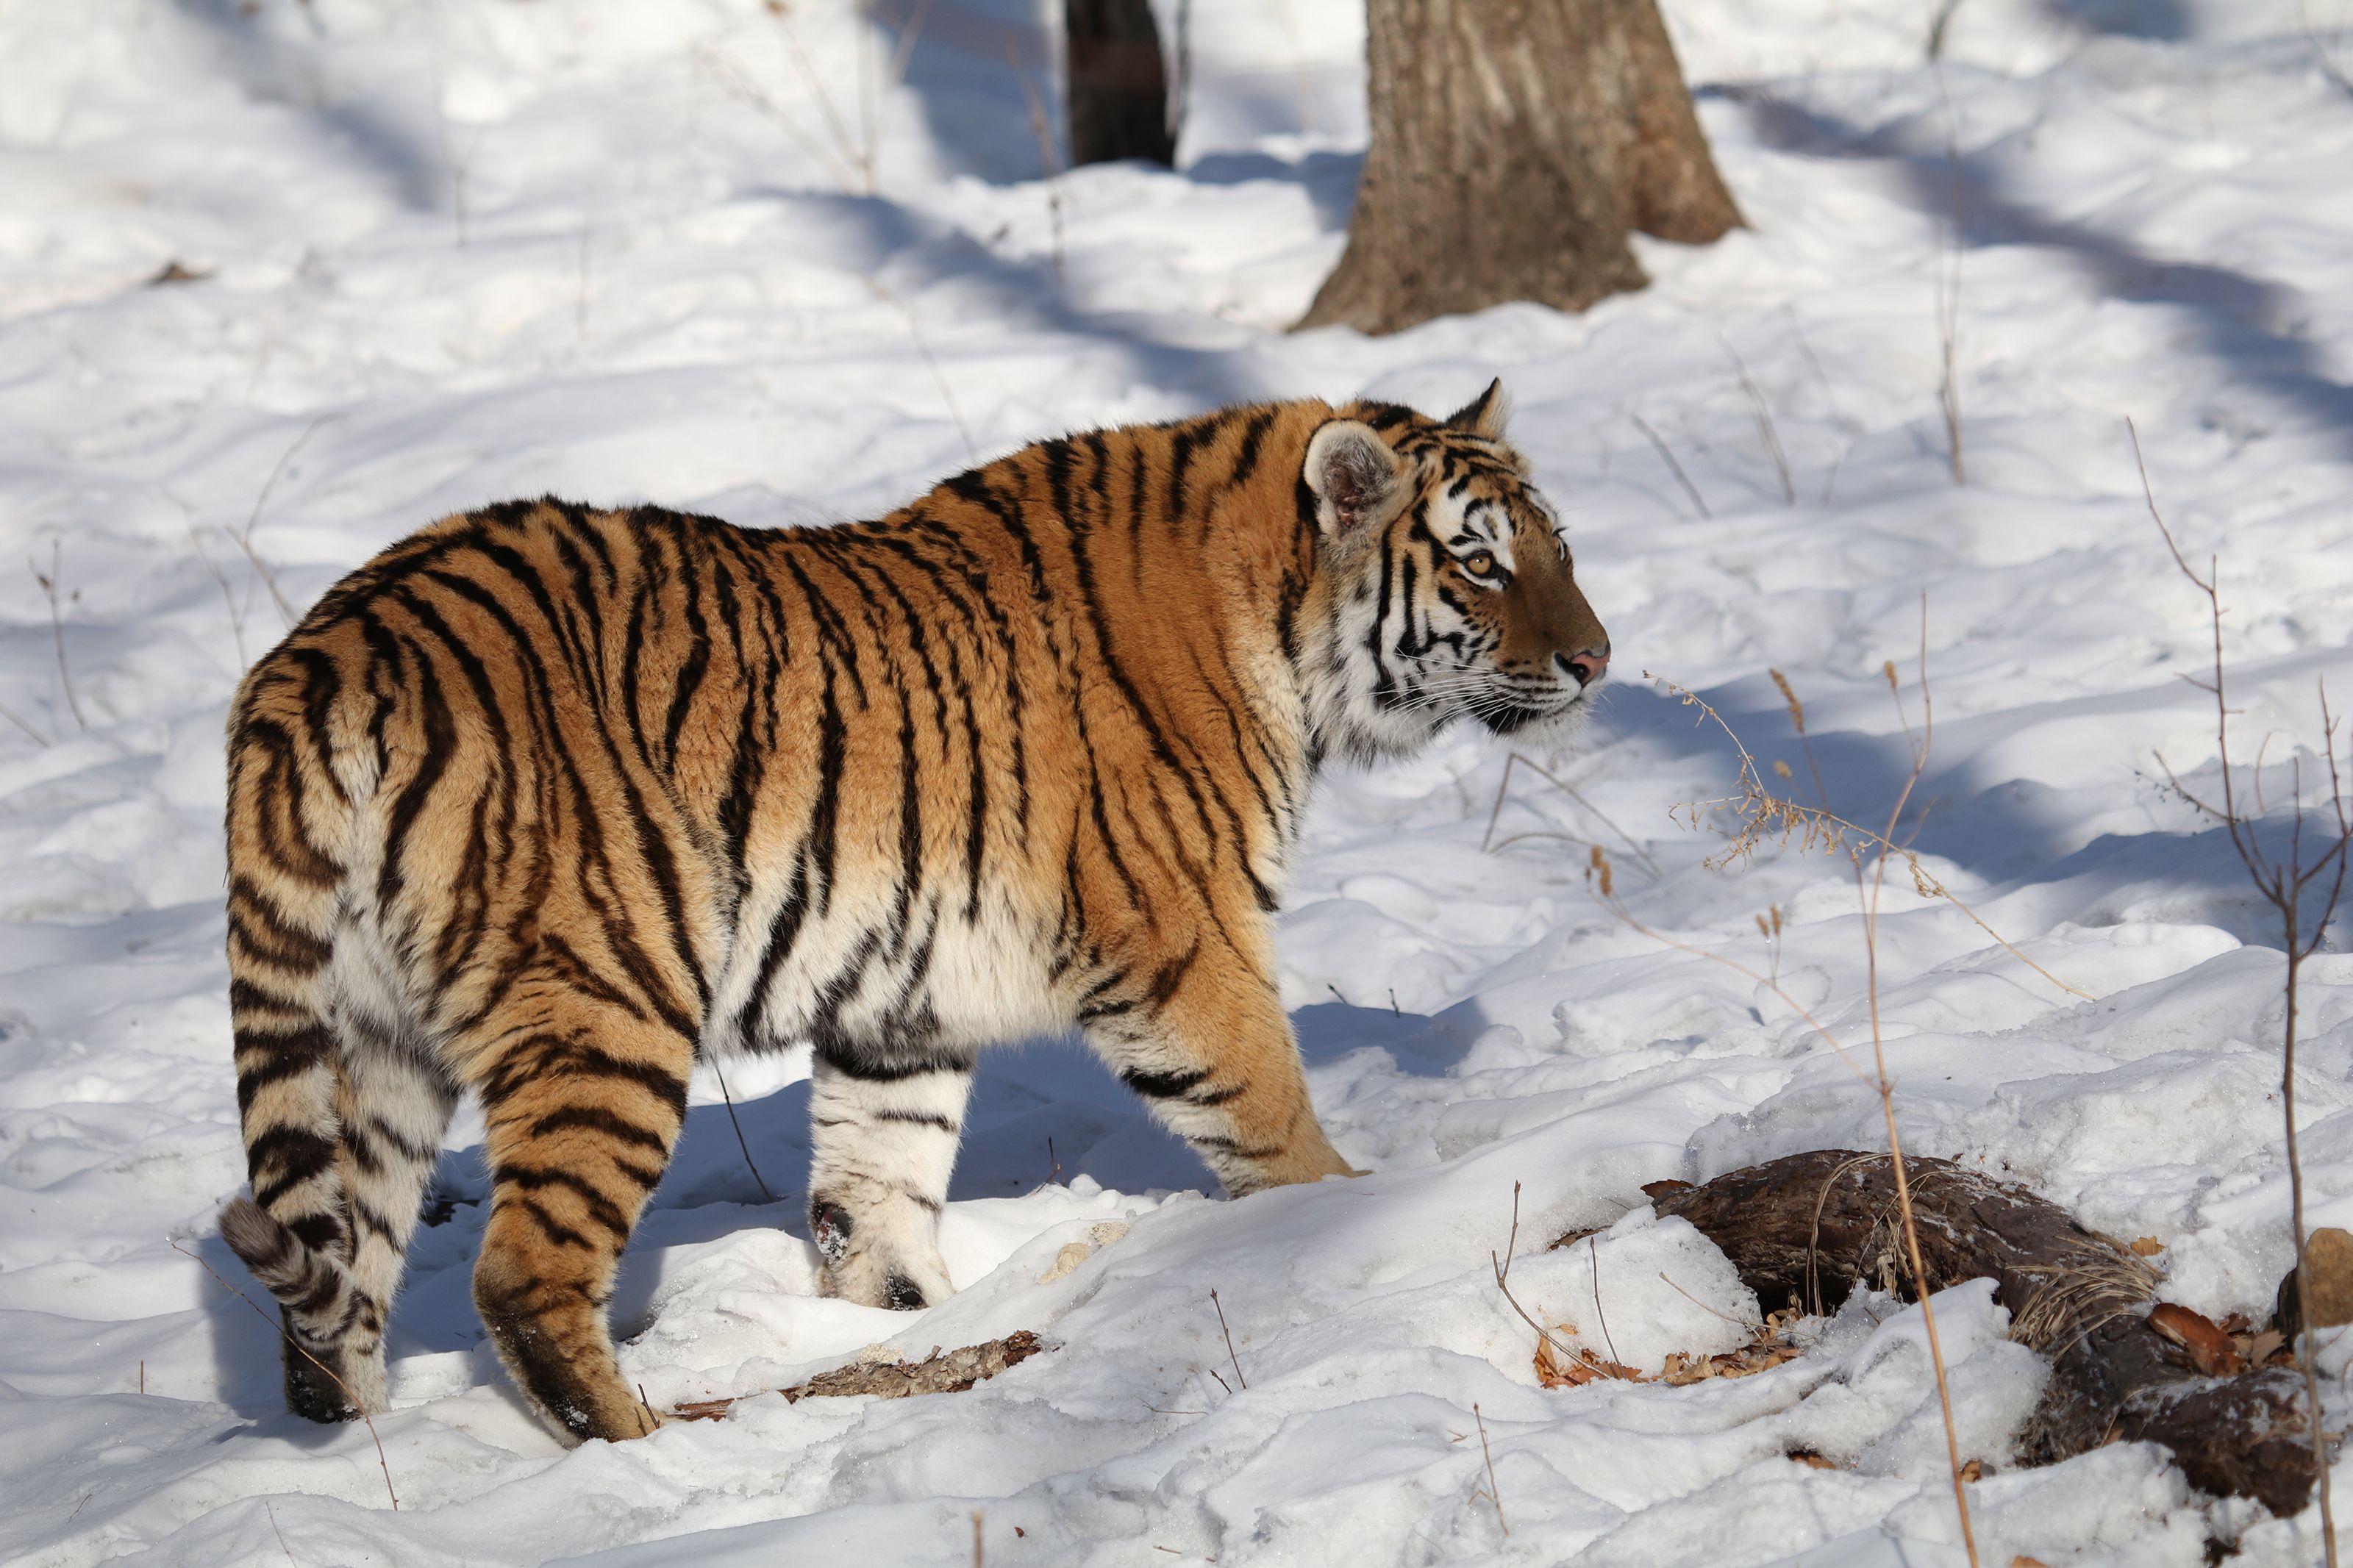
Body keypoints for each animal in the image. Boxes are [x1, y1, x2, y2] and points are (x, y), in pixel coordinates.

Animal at [216, 383, 1618, 1447]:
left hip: (369, 1048)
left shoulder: (903, 1011)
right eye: (1481, 563)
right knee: (524, 1274)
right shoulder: (1184, 942)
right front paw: (1344, 1236)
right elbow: (1273, 1120)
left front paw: (900, 1334)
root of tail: (328, 653)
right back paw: (643, 1445)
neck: (1277, 630)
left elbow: (875, 1203)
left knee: (336, 1295)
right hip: (607, 1006)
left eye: (1559, 546)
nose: (1599, 660)